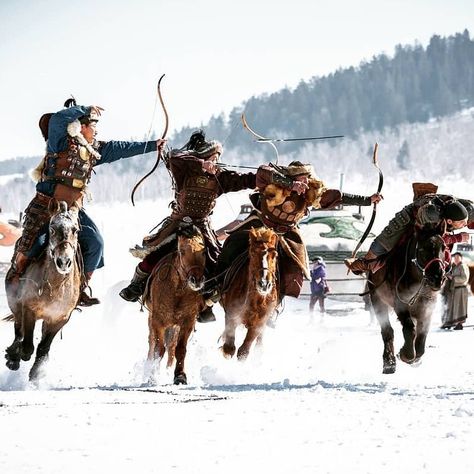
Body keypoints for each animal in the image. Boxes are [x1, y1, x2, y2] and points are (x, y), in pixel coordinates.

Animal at [4, 200, 80, 382]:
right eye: (51, 229)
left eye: (75, 230)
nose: (63, 262)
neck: (55, 287)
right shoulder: (28, 309)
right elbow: (27, 345)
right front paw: (16, 356)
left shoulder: (59, 318)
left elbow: (43, 347)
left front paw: (36, 373)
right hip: (15, 304)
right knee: (19, 330)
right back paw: (13, 357)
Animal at [143, 223, 206, 386]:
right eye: (182, 251)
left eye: (204, 252)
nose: (196, 280)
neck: (176, 292)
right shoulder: (158, 321)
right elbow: (158, 349)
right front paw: (152, 376)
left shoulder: (187, 322)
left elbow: (180, 348)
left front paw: (180, 376)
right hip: (153, 319)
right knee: (152, 343)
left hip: (174, 326)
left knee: (171, 346)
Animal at [220, 228, 280, 362]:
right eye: (252, 253)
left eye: (274, 255)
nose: (264, 284)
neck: (255, 300)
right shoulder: (231, 313)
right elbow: (229, 347)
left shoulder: (260, 322)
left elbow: (243, 351)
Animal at [368, 229, 450, 374]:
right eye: (422, 248)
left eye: (443, 247)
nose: (438, 278)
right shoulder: (400, 304)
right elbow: (409, 329)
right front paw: (405, 354)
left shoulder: (428, 307)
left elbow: (422, 336)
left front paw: (416, 358)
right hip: (377, 299)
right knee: (387, 331)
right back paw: (389, 363)